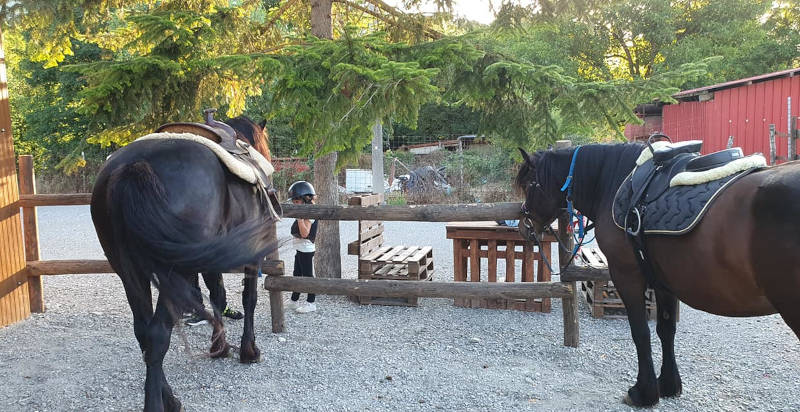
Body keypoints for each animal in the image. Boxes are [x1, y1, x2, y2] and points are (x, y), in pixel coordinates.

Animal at [90, 116, 279, 411]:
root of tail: (134, 165)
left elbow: (218, 296)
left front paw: (219, 346)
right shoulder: (252, 252)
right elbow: (249, 298)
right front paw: (249, 350)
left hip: (130, 273)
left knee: (144, 333)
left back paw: (170, 397)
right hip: (173, 274)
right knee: (157, 335)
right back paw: (157, 403)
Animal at [515, 143, 800, 407]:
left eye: (530, 184)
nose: (524, 226)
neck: (615, 182)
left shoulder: (627, 276)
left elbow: (640, 332)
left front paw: (644, 392)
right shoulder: (663, 283)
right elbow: (665, 330)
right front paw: (668, 384)